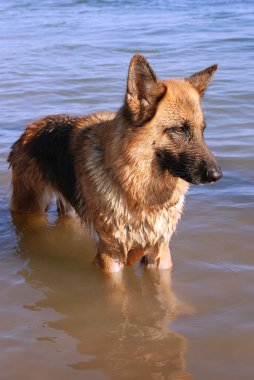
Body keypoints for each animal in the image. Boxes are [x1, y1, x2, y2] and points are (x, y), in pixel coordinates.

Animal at [7, 54, 222, 274]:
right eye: (179, 129)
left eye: (202, 130)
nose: (217, 176)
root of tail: (30, 128)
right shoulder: (111, 256)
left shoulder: (159, 253)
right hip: (30, 207)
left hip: (70, 212)